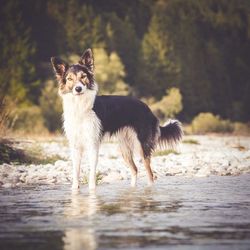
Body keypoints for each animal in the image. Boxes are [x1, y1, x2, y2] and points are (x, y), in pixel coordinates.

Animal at [51, 48, 184, 189]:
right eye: (69, 78)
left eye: (83, 76)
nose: (78, 88)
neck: (80, 106)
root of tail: (148, 108)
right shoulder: (75, 145)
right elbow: (76, 173)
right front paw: (74, 191)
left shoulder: (92, 143)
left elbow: (92, 173)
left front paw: (92, 191)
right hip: (124, 148)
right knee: (135, 169)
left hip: (141, 146)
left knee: (149, 174)